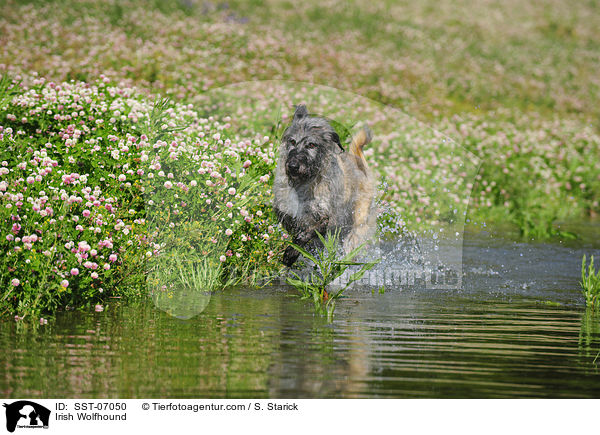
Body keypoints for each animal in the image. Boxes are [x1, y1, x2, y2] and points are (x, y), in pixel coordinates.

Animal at [274, 106, 376, 270]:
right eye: (292, 141)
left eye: (311, 145)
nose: (293, 166)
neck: (304, 184)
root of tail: (358, 160)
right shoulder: (286, 213)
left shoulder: (326, 217)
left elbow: (306, 234)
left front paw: (290, 254)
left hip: (358, 223)